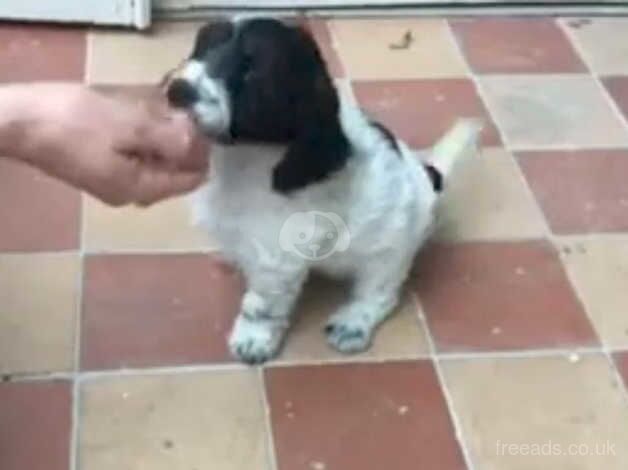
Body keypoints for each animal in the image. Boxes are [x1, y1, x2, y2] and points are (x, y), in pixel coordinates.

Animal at [167, 16, 480, 364]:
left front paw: (253, 339)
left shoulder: (279, 256)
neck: (245, 160)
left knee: (381, 293)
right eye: (202, 49)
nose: (178, 90)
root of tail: (430, 177)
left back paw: (353, 323)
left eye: (252, 70)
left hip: (390, 252)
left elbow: (261, 304)